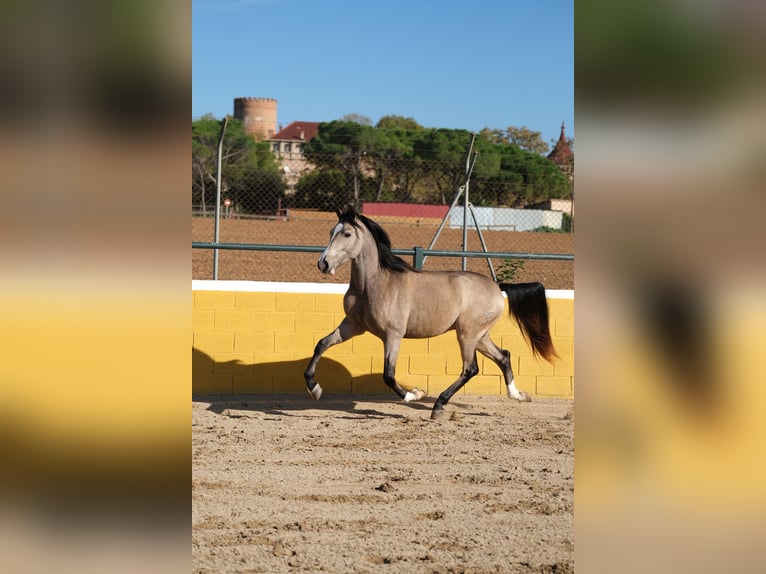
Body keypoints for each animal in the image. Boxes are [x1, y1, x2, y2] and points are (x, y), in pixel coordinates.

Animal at [304, 205, 560, 420]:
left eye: (347, 234)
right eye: (331, 231)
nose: (323, 263)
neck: (373, 284)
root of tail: (497, 287)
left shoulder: (393, 335)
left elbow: (388, 374)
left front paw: (414, 394)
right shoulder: (353, 326)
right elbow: (321, 344)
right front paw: (315, 389)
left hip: (467, 335)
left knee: (471, 368)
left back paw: (438, 406)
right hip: (479, 336)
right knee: (503, 355)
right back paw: (518, 395)